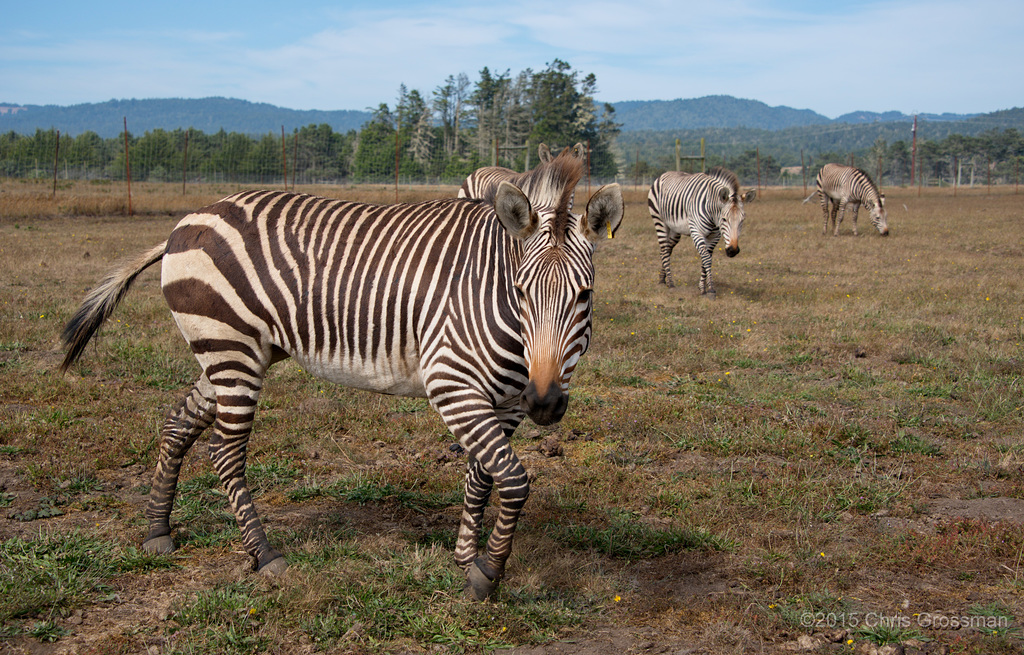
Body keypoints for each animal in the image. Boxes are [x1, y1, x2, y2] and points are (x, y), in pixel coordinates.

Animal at [66, 151, 622, 601]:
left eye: (585, 295)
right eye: (522, 291)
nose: (544, 404)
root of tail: (184, 223)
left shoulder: (504, 401)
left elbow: (483, 476)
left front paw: (466, 558)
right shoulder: (451, 383)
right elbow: (513, 478)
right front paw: (486, 575)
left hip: (232, 352)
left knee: (178, 422)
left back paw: (157, 531)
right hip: (231, 350)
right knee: (225, 453)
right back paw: (264, 555)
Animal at [643, 165, 757, 296]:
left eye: (742, 220)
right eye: (724, 219)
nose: (732, 251)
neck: (713, 214)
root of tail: (664, 174)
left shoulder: (714, 236)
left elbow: (706, 258)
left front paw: (702, 287)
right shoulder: (697, 232)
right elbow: (706, 258)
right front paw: (710, 289)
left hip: (675, 230)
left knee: (667, 249)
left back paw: (662, 279)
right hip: (659, 221)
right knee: (664, 250)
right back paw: (670, 283)